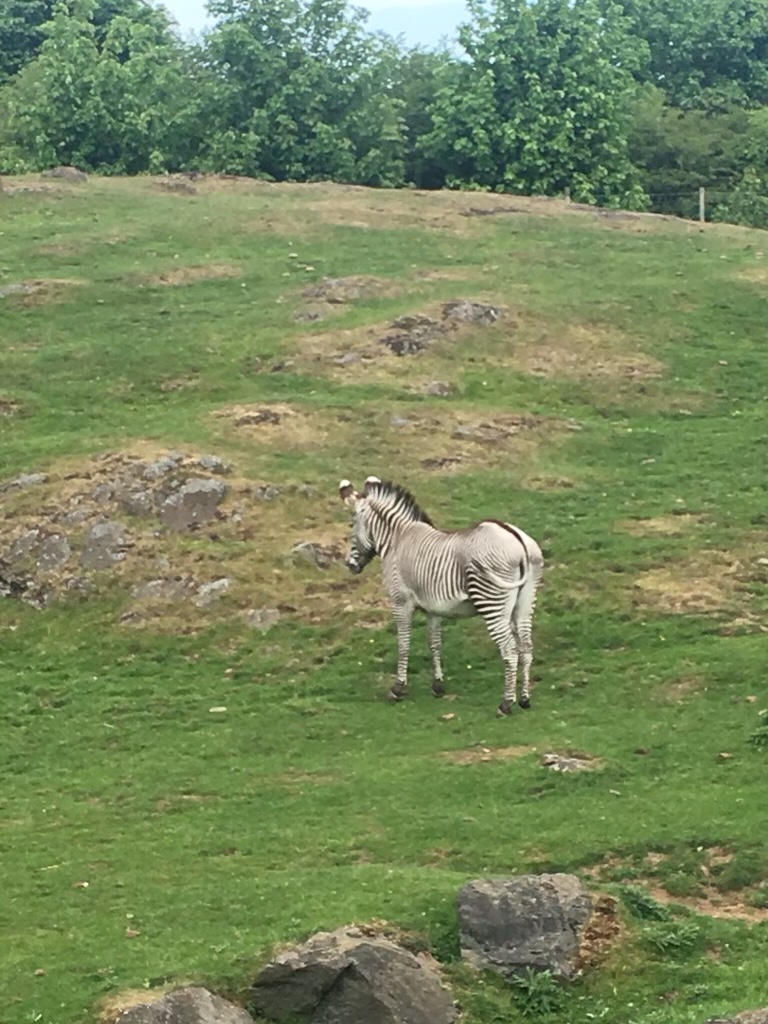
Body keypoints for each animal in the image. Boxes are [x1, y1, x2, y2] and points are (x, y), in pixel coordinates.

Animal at [338, 476, 544, 716]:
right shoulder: (433, 608)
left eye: (351, 525)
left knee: (509, 650)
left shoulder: (400, 601)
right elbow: (434, 642)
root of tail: (517, 539)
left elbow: (403, 643)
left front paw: (398, 688)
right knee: (526, 647)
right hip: (525, 602)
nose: (349, 565)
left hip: (492, 602)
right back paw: (524, 700)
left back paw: (505, 704)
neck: (396, 540)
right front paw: (437, 685)